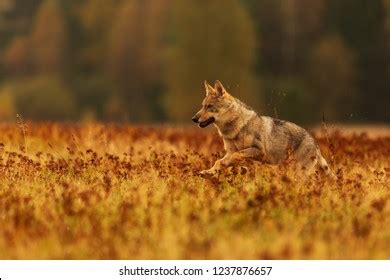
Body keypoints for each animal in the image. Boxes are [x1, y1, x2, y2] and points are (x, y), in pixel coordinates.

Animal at [192, 80, 336, 178]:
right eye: (202, 106)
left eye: (209, 106)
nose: (194, 119)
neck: (235, 128)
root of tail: (315, 144)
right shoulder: (229, 152)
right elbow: (219, 162)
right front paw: (208, 172)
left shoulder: (259, 150)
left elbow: (237, 155)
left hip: (298, 172)